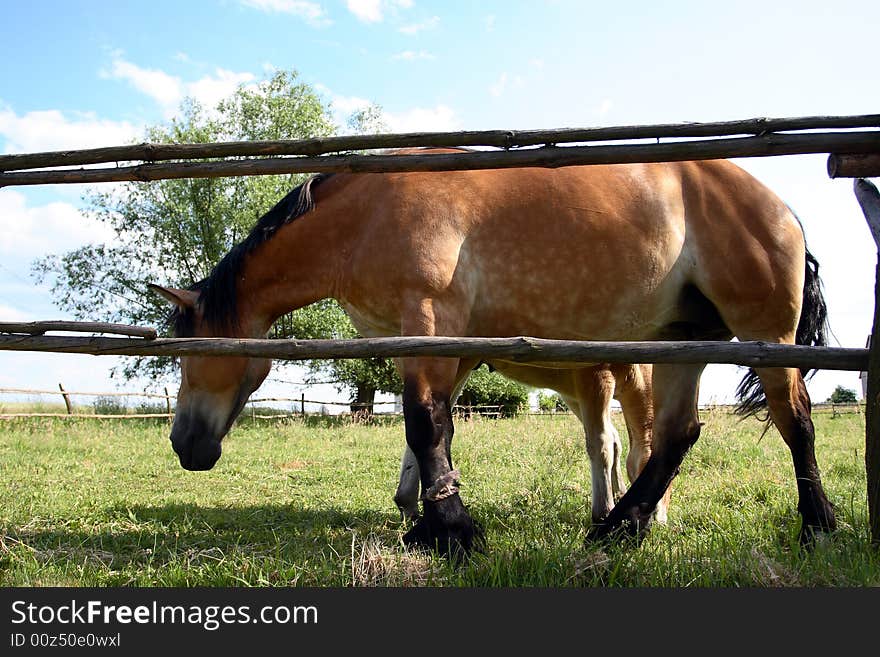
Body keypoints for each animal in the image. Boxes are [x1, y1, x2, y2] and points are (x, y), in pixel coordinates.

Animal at [150, 150, 832, 552]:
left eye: (187, 352)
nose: (184, 444)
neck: (370, 211)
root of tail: (780, 208)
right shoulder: (435, 342)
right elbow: (436, 429)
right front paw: (430, 522)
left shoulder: (430, 320)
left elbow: (424, 424)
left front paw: (452, 533)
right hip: (681, 342)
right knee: (674, 435)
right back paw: (620, 527)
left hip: (765, 336)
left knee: (793, 421)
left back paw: (817, 525)